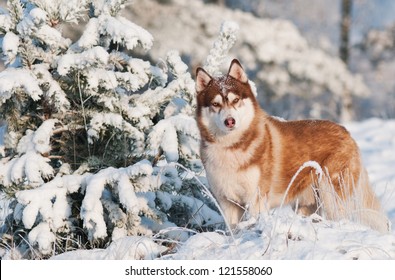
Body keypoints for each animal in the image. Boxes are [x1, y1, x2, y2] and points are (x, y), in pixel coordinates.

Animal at [195, 59, 390, 234]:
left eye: (235, 100)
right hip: (306, 204)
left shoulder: (256, 200)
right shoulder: (227, 202)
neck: (231, 147)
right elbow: (232, 232)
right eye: (215, 104)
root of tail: (346, 131)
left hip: (331, 195)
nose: (230, 121)